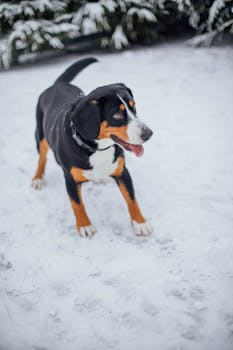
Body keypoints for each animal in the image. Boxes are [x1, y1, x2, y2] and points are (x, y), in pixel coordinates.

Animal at [31, 58, 154, 238]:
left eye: (133, 106)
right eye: (117, 114)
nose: (148, 133)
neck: (97, 149)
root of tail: (58, 84)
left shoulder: (122, 172)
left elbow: (132, 199)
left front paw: (140, 222)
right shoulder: (70, 179)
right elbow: (77, 204)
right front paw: (85, 225)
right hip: (40, 137)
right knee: (42, 158)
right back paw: (38, 178)